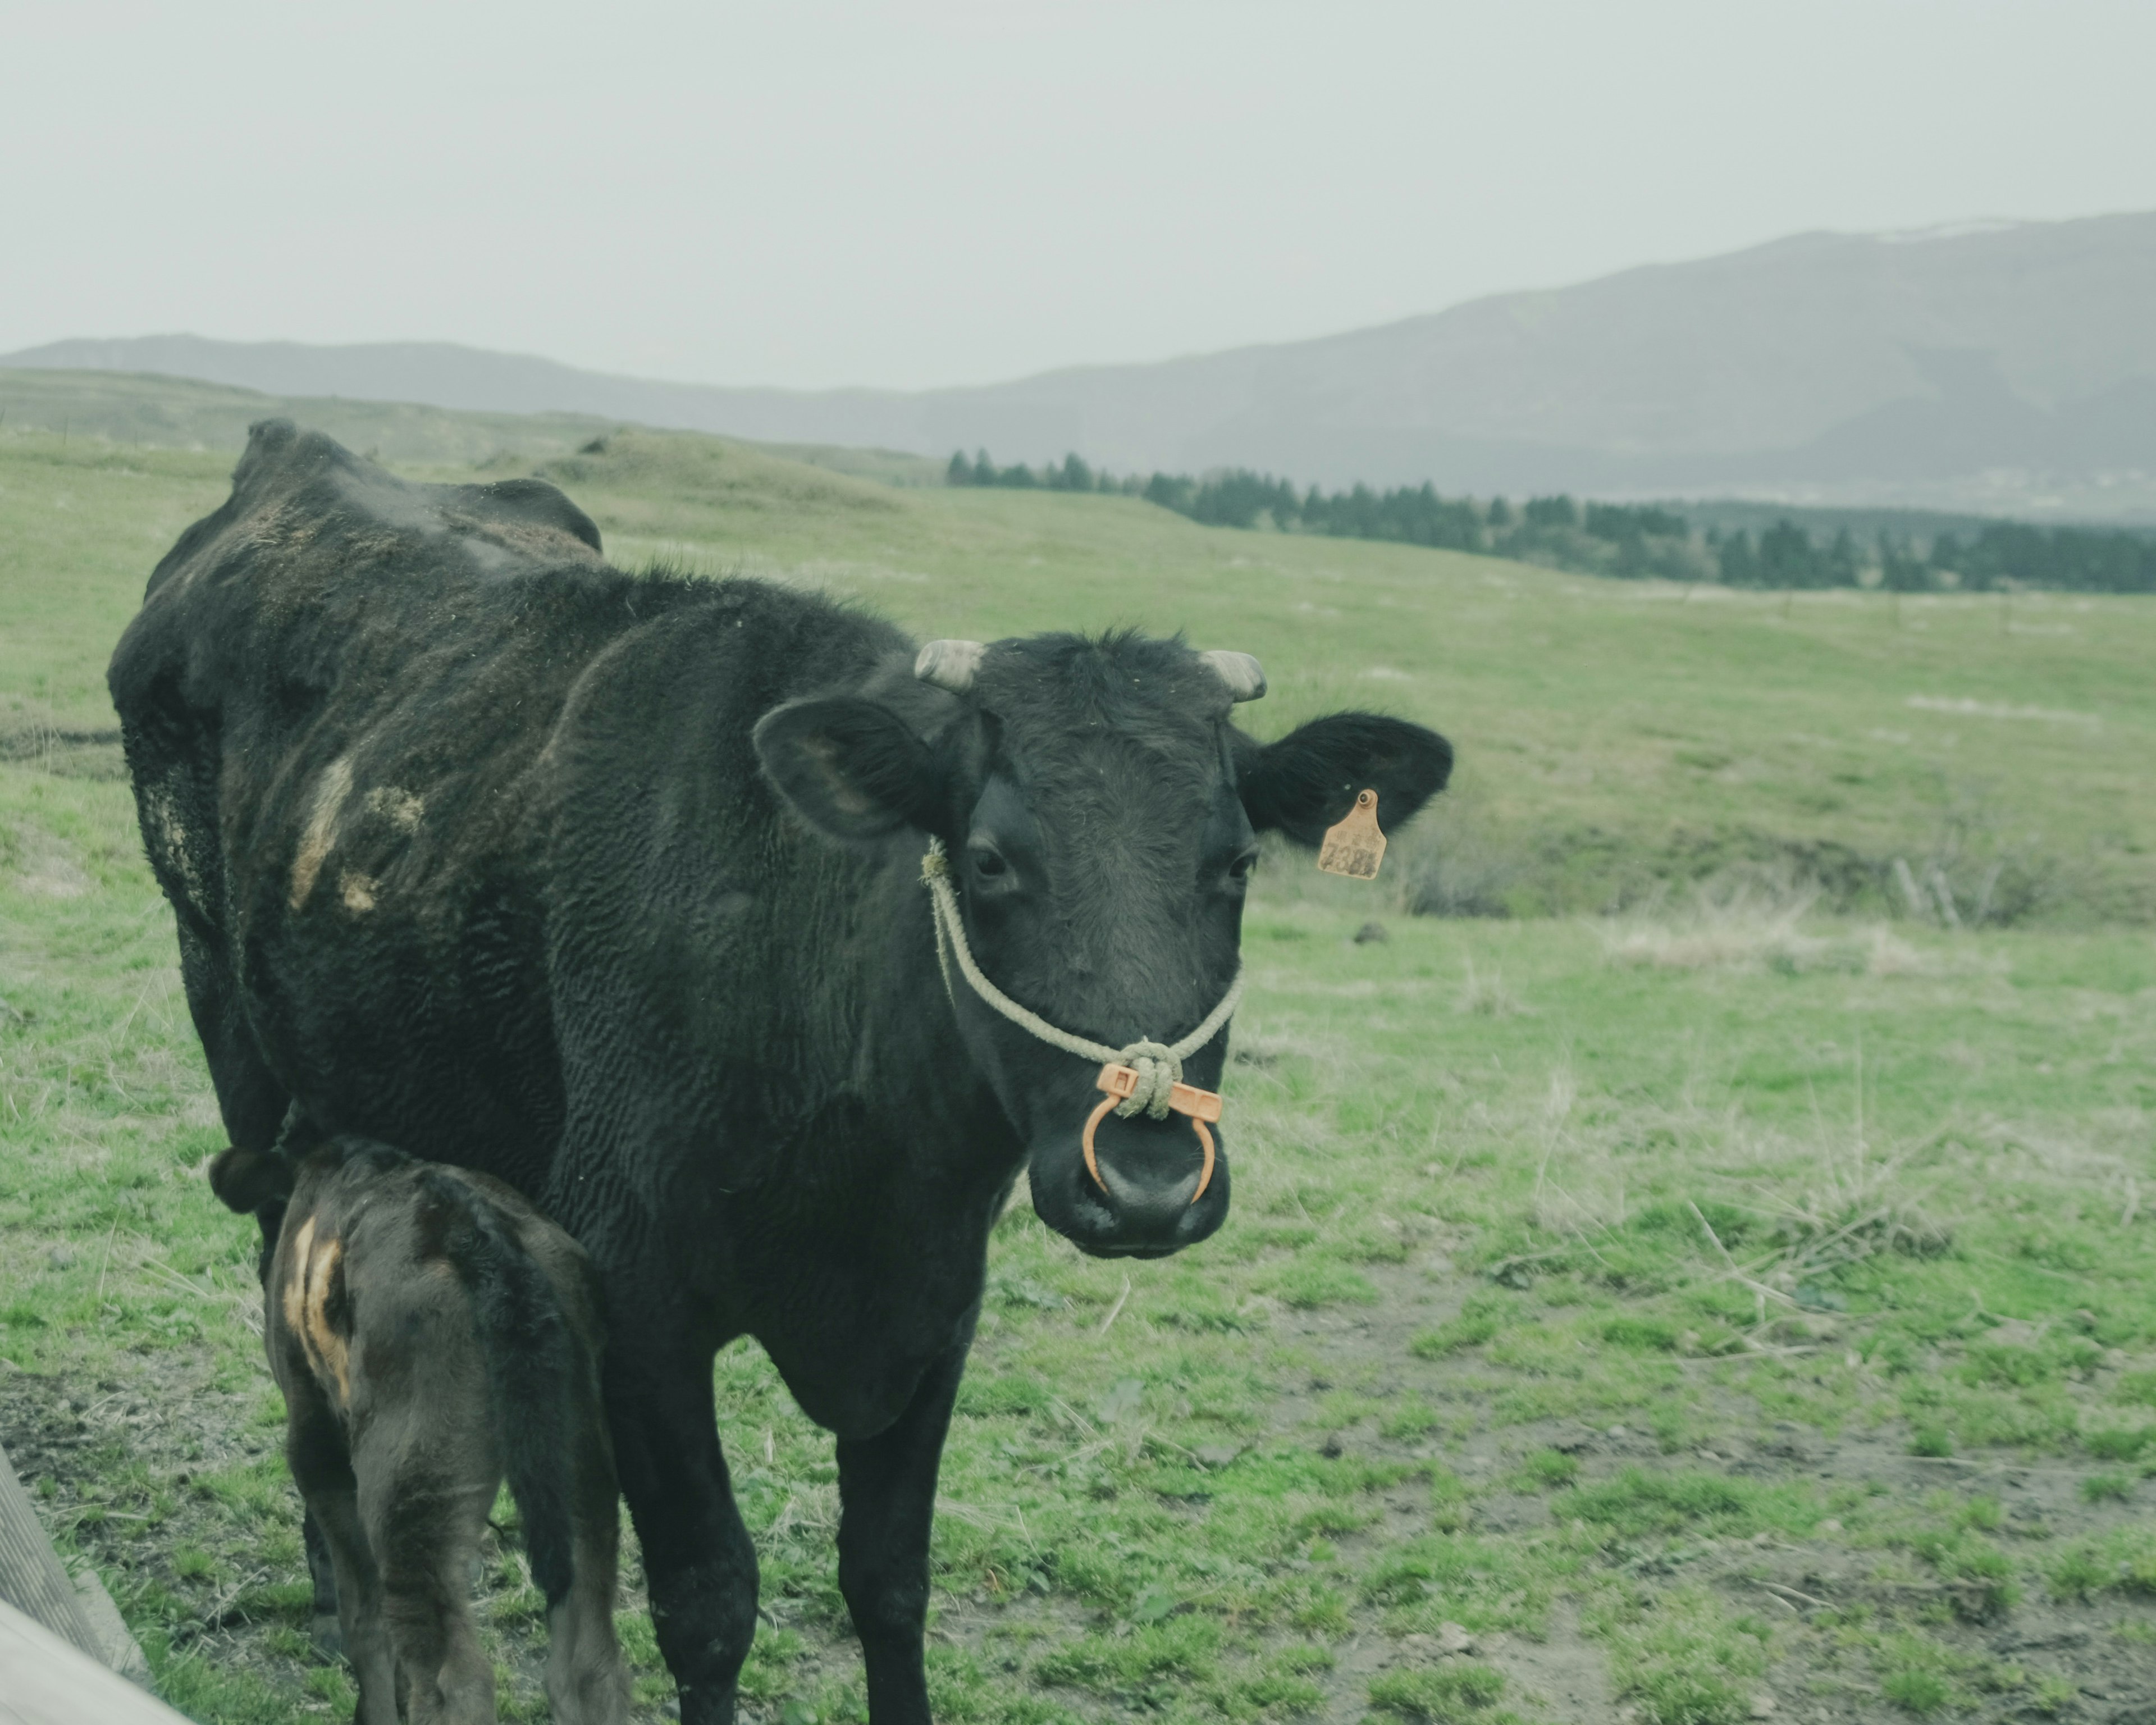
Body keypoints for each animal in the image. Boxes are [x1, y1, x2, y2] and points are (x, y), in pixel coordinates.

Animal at [105, 420, 1449, 1725]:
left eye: (1238, 863)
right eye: (990, 860)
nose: (1152, 1184)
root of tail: (290, 454)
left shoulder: (937, 1309)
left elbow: (890, 1580)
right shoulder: (640, 1305)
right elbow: (710, 1599)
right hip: (233, 1031)